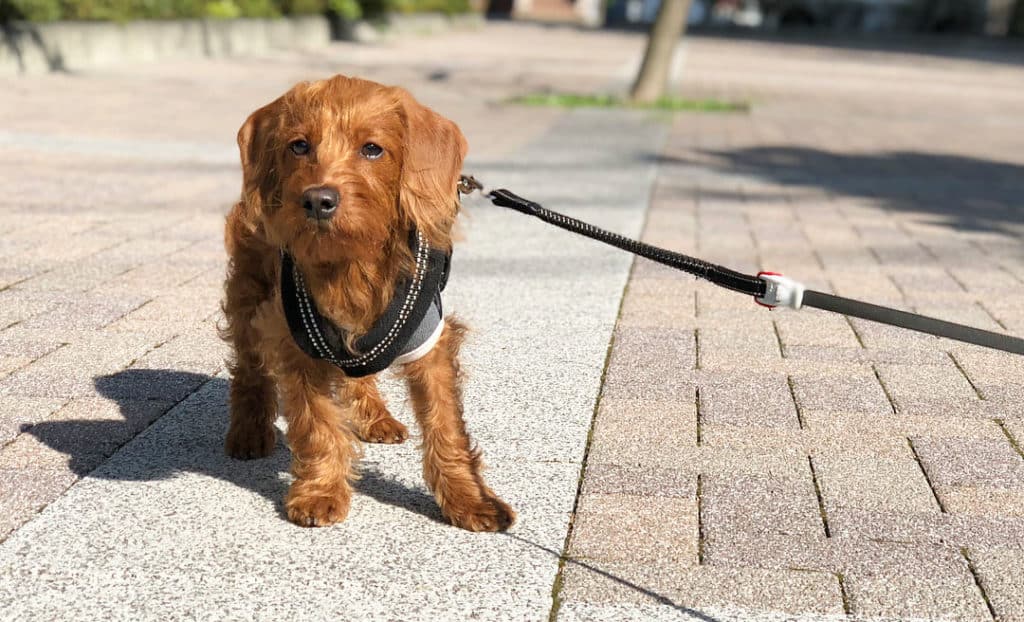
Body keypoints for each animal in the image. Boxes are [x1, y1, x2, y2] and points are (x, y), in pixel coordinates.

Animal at [221, 75, 516, 532]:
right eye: (299, 146)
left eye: (372, 149)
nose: (317, 199)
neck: (350, 262)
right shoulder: (294, 342)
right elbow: (317, 425)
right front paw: (321, 491)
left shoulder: (429, 341)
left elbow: (446, 425)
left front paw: (468, 499)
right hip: (250, 296)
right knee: (250, 369)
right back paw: (249, 431)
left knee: (358, 371)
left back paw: (375, 416)